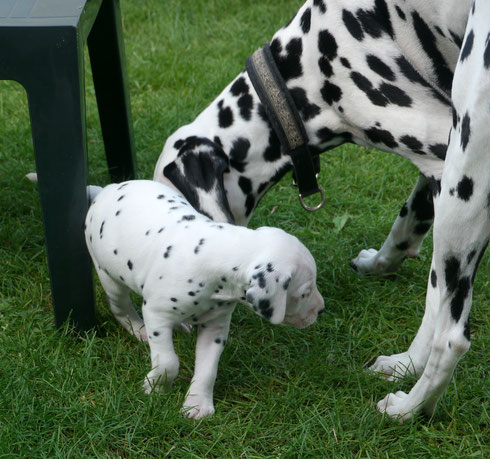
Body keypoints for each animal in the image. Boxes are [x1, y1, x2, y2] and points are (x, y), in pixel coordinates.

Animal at [84, 181, 326, 420]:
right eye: (304, 293)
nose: (321, 310)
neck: (215, 253)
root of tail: (105, 189)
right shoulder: (156, 315)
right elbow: (168, 362)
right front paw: (155, 386)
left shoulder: (215, 327)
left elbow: (208, 370)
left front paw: (197, 403)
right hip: (109, 276)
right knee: (120, 307)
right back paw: (137, 327)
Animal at [151, 0, 488, 422]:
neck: (306, 67)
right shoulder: (436, 169)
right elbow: (408, 222)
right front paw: (380, 264)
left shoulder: (444, 155)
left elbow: (434, 301)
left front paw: (408, 363)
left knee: (453, 337)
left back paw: (408, 408)